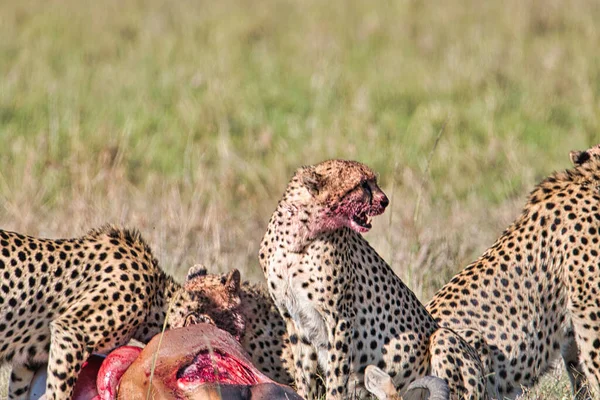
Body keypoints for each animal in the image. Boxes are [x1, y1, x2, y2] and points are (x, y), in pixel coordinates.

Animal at [258, 160, 488, 400]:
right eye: (362, 184)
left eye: (373, 181)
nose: (385, 200)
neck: (299, 237)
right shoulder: (295, 318)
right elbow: (305, 372)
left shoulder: (340, 318)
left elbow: (336, 373)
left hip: (445, 338)